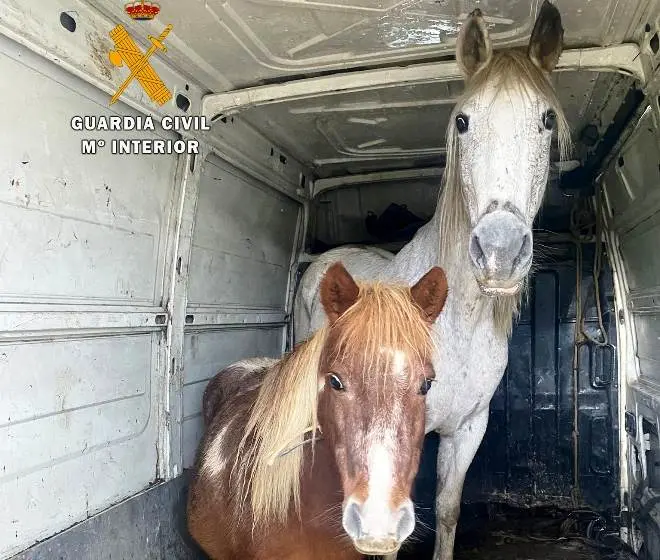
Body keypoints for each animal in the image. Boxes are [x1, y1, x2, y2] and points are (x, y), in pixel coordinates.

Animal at [292, 2, 568, 556]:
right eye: (462, 121)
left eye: (547, 120)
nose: (500, 251)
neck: (454, 324)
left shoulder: (468, 428)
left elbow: (446, 509)